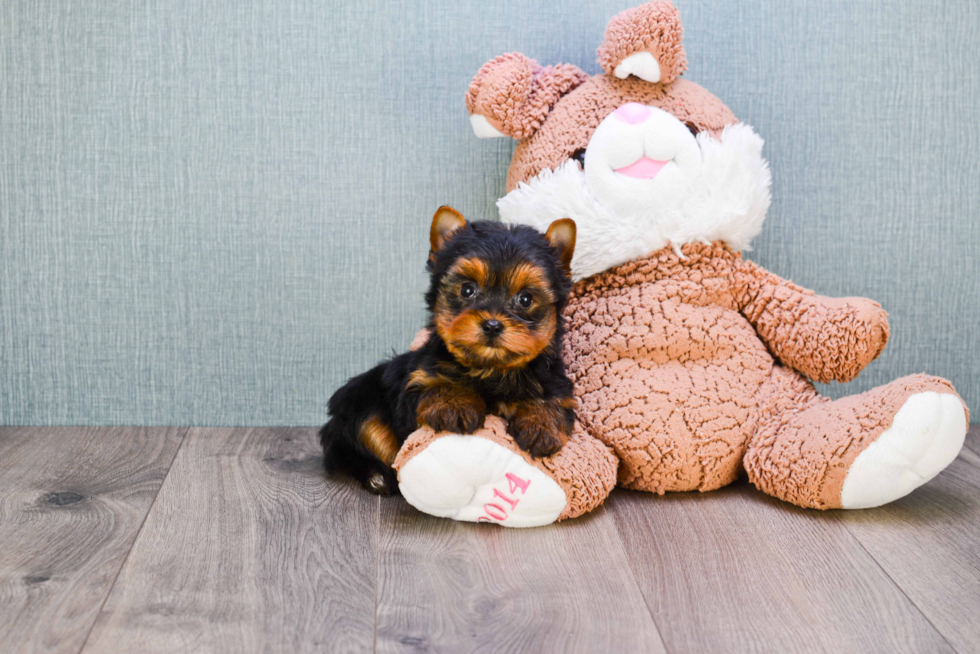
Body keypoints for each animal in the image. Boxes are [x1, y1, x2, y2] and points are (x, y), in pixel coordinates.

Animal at [322, 208, 580, 494]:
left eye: (526, 299)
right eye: (467, 289)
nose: (492, 325)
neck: (490, 369)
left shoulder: (556, 384)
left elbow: (552, 401)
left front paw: (540, 423)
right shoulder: (417, 381)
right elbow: (436, 386)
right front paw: (454, 402)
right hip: (362, 407)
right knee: (357, 443)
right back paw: (374, 475)